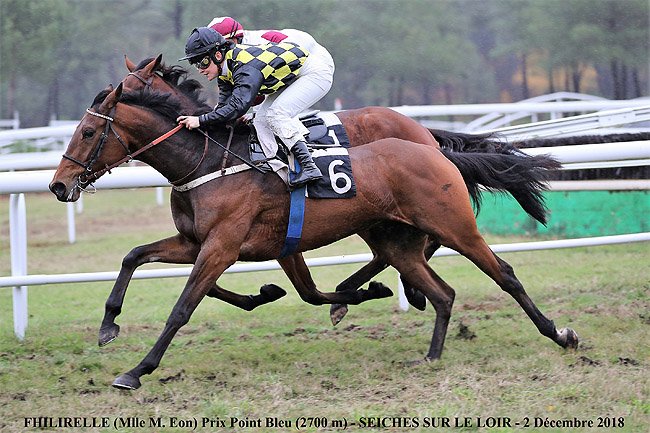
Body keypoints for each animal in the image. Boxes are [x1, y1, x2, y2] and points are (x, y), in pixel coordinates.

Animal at [49, 82, 578, 389]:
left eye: (89, 133)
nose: (58, 186)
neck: (209, 163)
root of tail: (432, 147)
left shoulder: (220, 247)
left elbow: (183, 308)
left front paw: (137, 371)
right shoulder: (199, 243)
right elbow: (134, 255)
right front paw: (109, 325)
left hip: (454, 226)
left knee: (504, 274)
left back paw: (560, 334)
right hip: (394, 240)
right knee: (441, 291)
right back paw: (427, 352)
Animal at [120, 54, 556, 322]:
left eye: (129, 86)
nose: (112, 95)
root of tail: (424, 134)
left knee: (423, 242)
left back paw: (394, 291)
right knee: (403, 248)